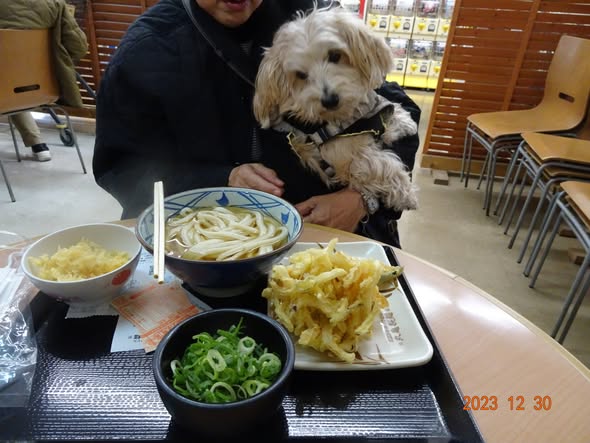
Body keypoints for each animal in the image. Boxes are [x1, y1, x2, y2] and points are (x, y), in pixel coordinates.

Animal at [253, 7, 418, 212]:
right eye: (300, 75)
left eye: (334, 55)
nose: (329, 100)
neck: (348, 117)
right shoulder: (346, 155)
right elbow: (382, 165)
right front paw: (406, 194)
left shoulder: (372, 111)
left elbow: (388, 109)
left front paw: (404, 122)